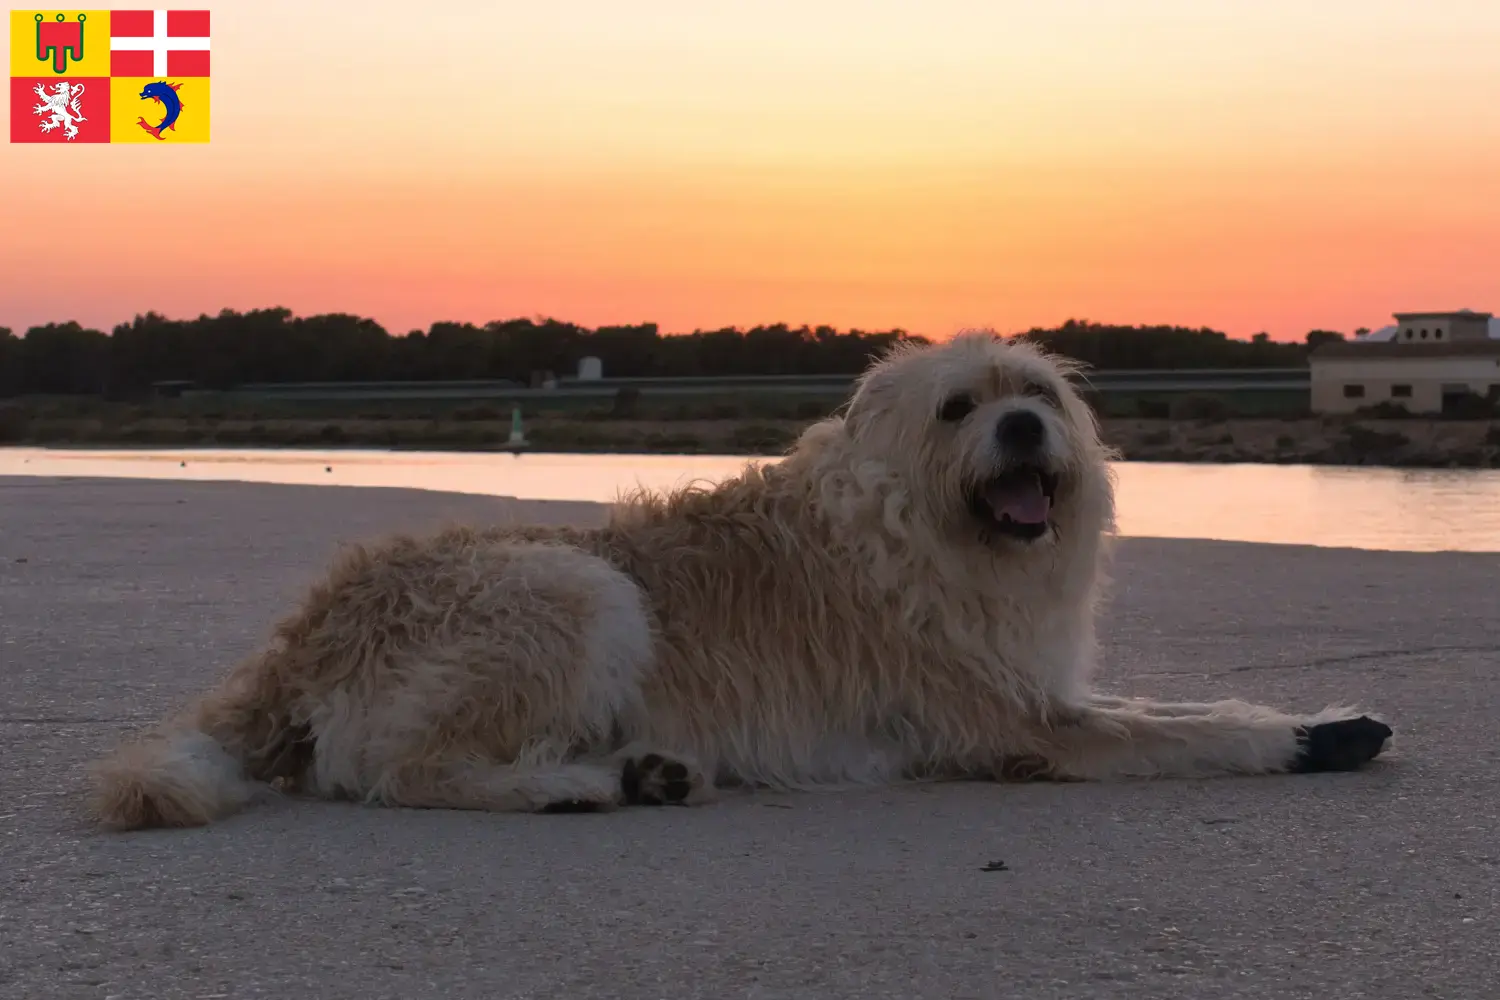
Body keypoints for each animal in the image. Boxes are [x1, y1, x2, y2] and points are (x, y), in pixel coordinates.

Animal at [87, 332, 1386, 833]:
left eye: (1039, 395)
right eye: (959, 408)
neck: (924, 525)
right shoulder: (1019, 721)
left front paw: (1325, 719)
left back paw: (638, 770)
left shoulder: (1037, 684)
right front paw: (1296, 740)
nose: (1024, 430)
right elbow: (1188, 728)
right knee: (396, 771)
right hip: (578, 590)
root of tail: (300, 636)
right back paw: (579, 786)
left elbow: (1171, 704)